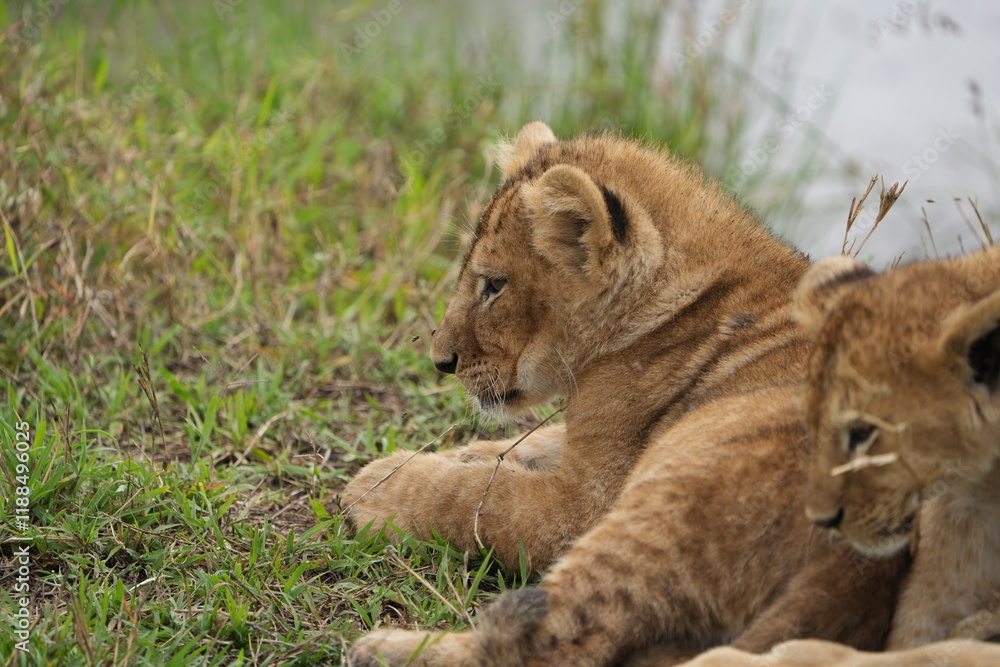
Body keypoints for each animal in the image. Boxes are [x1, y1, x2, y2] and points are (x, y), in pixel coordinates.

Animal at [341, 122, 907, 666]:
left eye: (494, 284)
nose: (440, 361)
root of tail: (861, 566)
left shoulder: (582, 504)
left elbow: (477, 496)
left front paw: (378, 483)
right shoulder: (595, 445)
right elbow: (522, 449)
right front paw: (454, 456)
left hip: (660, 513)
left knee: (555, 643)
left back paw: (381, 651)